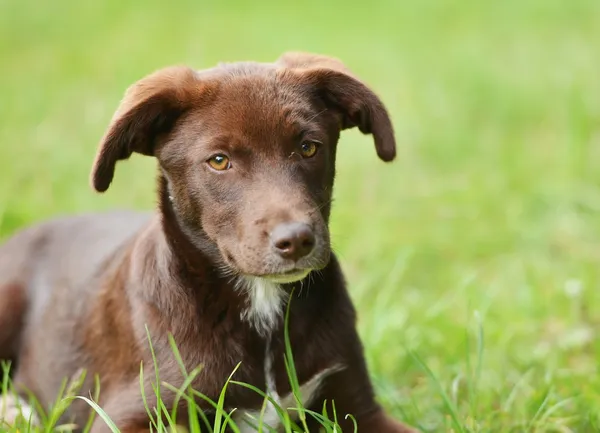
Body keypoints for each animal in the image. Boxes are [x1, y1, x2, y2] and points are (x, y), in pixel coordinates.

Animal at [0, 52, 418, 430]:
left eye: (308, 147)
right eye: (218, 161)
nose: (297, 241)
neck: (261, 304)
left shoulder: (358, 407)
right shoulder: (128, 413)